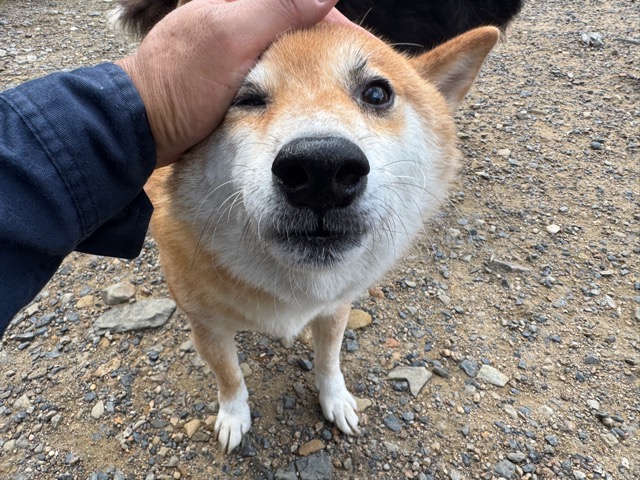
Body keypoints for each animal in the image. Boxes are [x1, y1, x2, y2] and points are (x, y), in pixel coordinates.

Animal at [117, 1, 505, 453]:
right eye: (245, 99)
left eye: (377, 93)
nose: (322, 168)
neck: (295, 288)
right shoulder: (206, 326)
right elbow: (229, 376)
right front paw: (233, 415)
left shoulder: (336, 305)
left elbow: (329, 359)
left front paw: (335, 400)